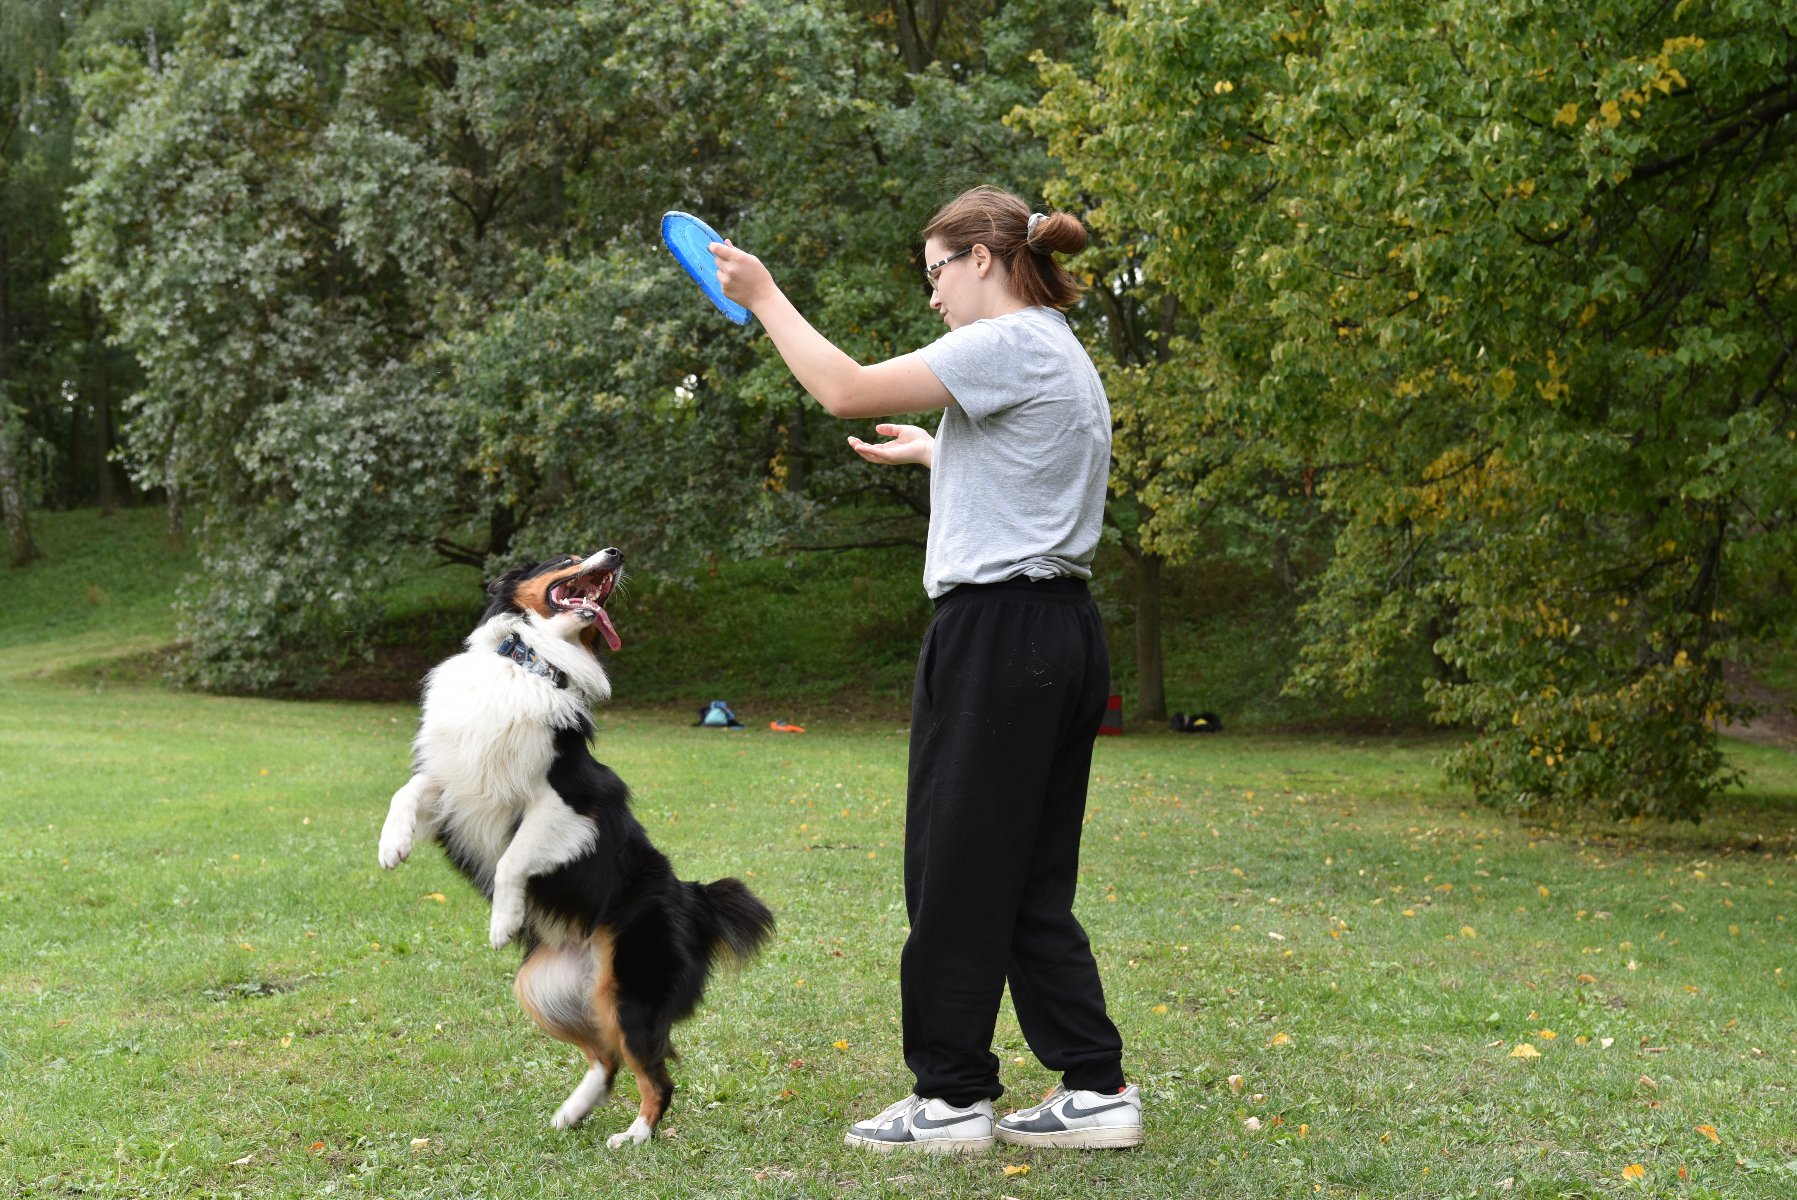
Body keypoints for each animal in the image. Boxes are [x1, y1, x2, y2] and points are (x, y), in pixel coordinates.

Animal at [379, 549, 772, 1149]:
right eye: (566, 557)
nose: (616, 553)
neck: (527, 662)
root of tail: (694, 897)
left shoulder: (568, 803)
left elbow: (514, 857)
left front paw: (503, 921)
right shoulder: (457, 786)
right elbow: (408, 790)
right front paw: (391, 846)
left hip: (631, 991)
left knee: (655, 1076)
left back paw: (634, 1136)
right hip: (542, 988)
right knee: (607, 1058)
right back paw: (573, 1113)